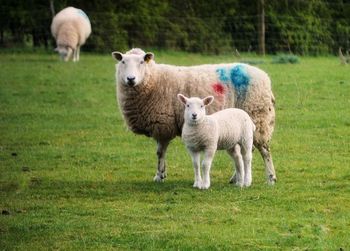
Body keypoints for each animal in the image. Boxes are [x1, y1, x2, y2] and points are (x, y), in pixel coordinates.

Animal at [112, 47, 276, 184]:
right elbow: (161, 153)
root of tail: (265, 77)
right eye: (123, 61)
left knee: (263, 149)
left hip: (257, 116)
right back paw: (236, 178)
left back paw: (271, 177)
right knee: (247, 151)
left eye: (141, 62)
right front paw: (162, 174)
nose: (131, 79)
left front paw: (159, 176)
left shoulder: (163, 125)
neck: (153, 80)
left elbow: (160, 153)